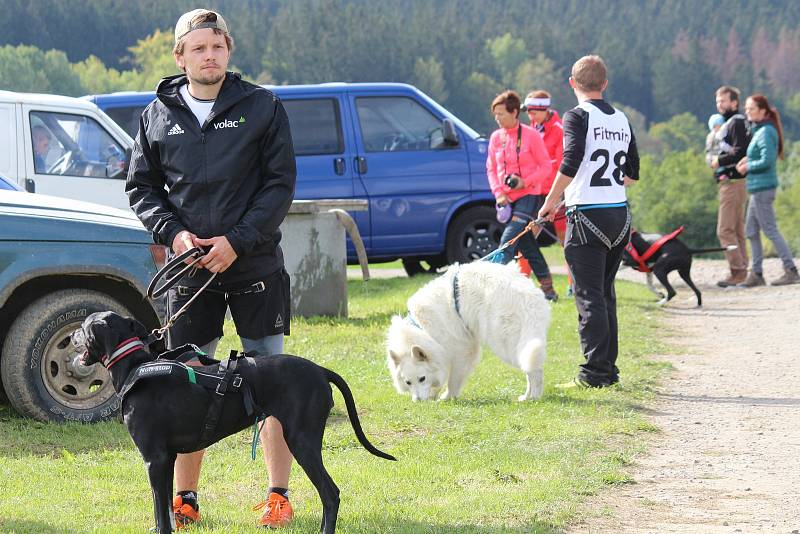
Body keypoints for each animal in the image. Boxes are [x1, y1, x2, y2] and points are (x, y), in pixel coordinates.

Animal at [75, 312, 396, 532]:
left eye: (84, 327)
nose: (74, 333)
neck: (135, 367)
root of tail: (320, 369)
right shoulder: (167, 459)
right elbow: (164, 509)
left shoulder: (154, 459)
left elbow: (160, 514)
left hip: (301, 441)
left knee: (331, 494)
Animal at [386, 262, 552, 404]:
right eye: (408, 382)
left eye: (422, 378)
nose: (418, 402)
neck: (422, 328)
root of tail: (530, 297)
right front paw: (434, 395)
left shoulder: (460, 351)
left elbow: (453, 379)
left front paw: (447, 397)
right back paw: (526, 397)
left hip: (505, 344)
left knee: (535, 371)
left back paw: (535, 397)